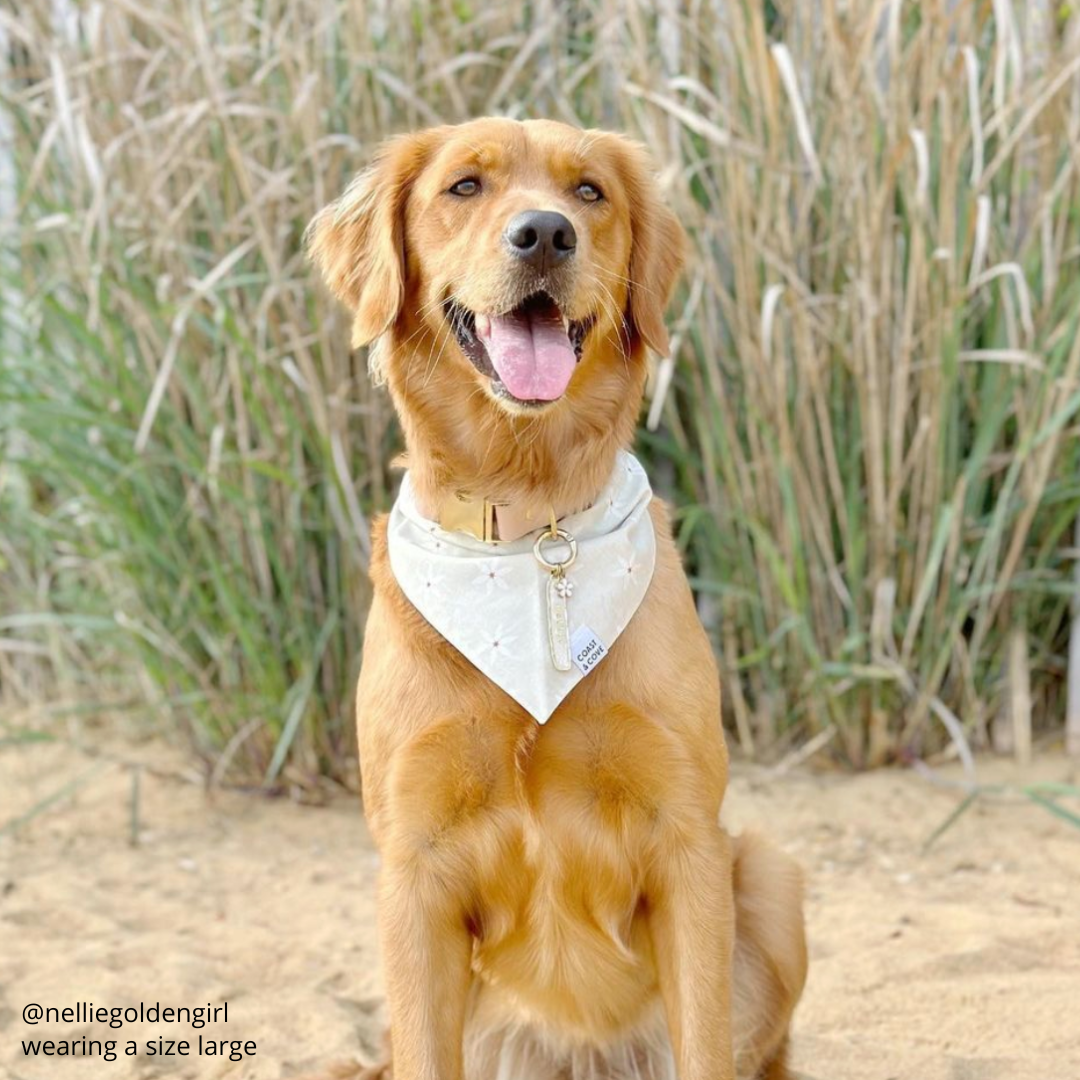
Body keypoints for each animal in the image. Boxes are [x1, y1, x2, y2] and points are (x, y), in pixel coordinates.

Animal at [308, 116, 807, 1080]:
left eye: (589, 192)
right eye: (464, 187)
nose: (544, 234)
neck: (529, 525)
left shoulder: (688, 840)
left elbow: (706, 1039)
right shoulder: (412, 866)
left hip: (768, 872)